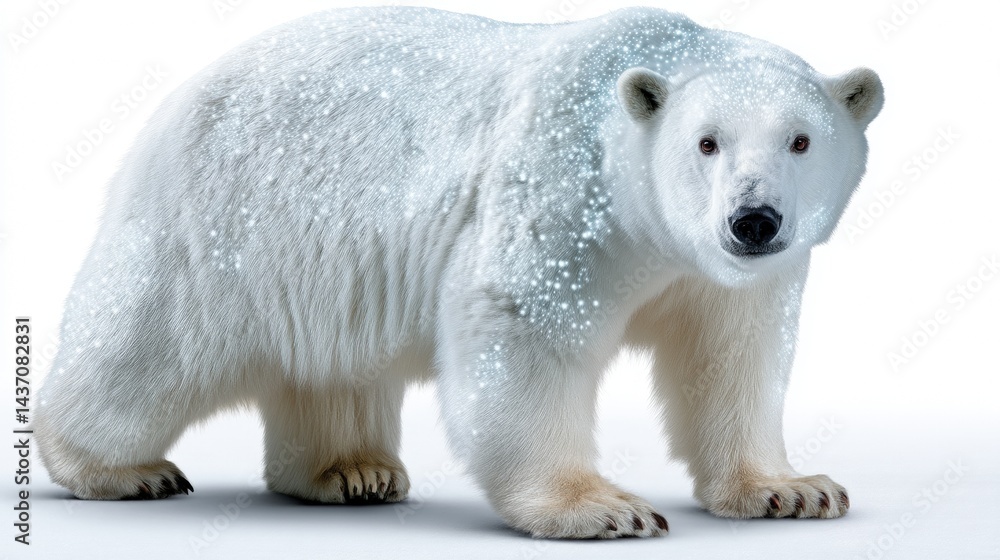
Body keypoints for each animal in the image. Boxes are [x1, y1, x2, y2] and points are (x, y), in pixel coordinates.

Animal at [35, 6, 883, 539]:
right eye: (706, 142)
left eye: (801, 140)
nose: (753, 220)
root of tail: (176, 100)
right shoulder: (558, 192)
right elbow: (521, 330)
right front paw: (601, 509)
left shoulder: (725, 279)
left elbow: (731, 358)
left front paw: (791, 489)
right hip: (223, 222)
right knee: (152, 343)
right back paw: (119, 467)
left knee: (332, 366)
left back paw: (352, 471)